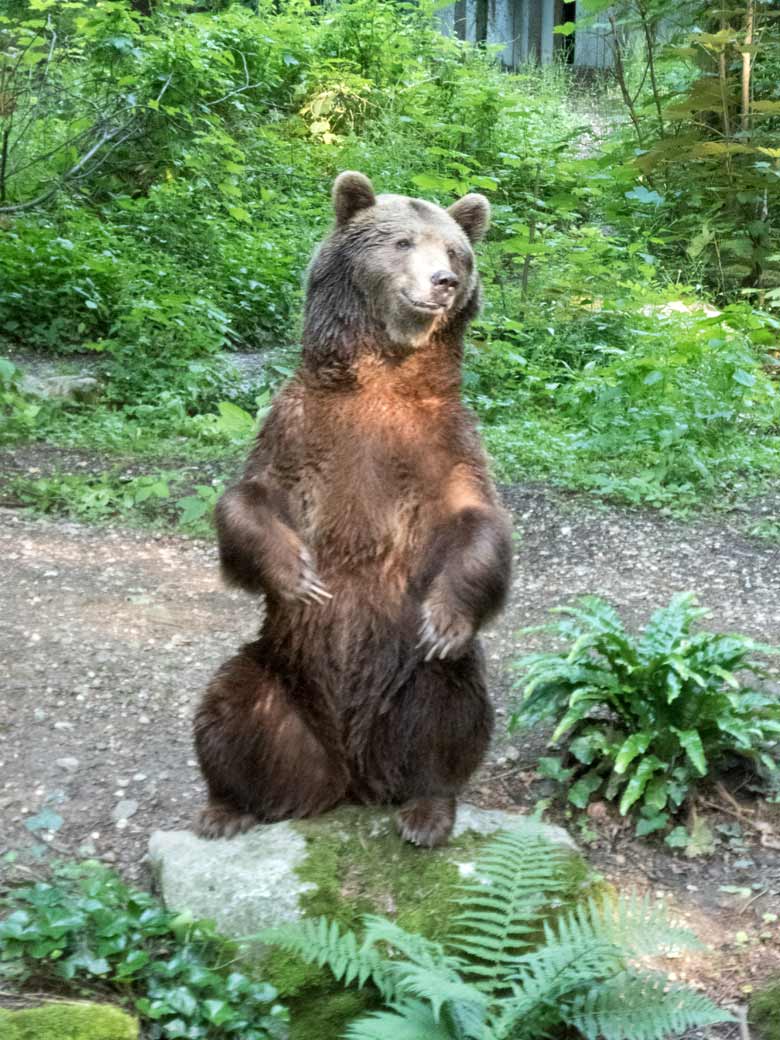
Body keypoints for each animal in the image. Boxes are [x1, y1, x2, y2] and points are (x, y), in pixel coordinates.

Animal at [194, 170, 513, 848]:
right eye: (401, 241)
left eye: (455, 252)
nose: (442, 282)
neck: (382, 377)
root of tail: (351, 776)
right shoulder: (299, 429)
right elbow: (247, 499)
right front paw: (300, 576)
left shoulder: (442, 442)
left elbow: (479, 522)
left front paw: (446, 617)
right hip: (278, 670)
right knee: (229, 707)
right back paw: (229, 806)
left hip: (410, 681)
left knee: (449, 710)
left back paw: (425, 810)